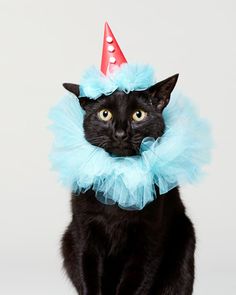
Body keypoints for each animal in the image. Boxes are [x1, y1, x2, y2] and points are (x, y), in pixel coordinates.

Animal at [60, 74, 195, 295]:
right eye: (104, 114)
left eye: (138, 115)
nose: (121, 133)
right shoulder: (84, 233)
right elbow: (88, 275)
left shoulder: (149, 239)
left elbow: (135, 280)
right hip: (67, 240)